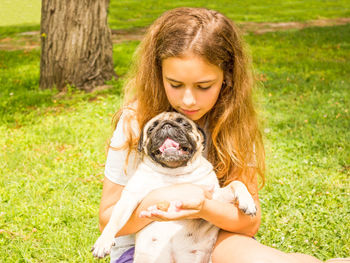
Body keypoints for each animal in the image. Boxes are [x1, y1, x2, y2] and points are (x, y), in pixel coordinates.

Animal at [92, 112, 258, 262]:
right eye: (151, 129)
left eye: (184, 124)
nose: (166, 125)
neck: (174, 172)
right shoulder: (130, 196)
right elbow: (114, 220)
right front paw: (103, 241)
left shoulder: (213, 196)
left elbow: (237, 183)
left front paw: (248, 201)